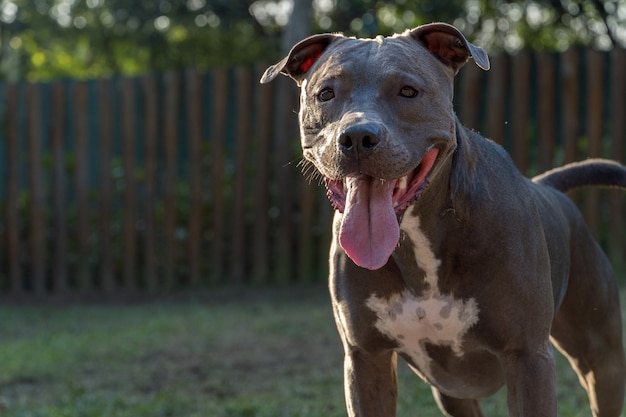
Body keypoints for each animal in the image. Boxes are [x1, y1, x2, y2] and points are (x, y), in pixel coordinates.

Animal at [258, 22, 624, 416]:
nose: (356, 136)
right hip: (452, 393)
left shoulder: (528, 358)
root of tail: (547, 185)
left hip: (602, 360)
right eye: (326, 93)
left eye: (408, 91)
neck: (418, 237)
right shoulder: (366, 360)